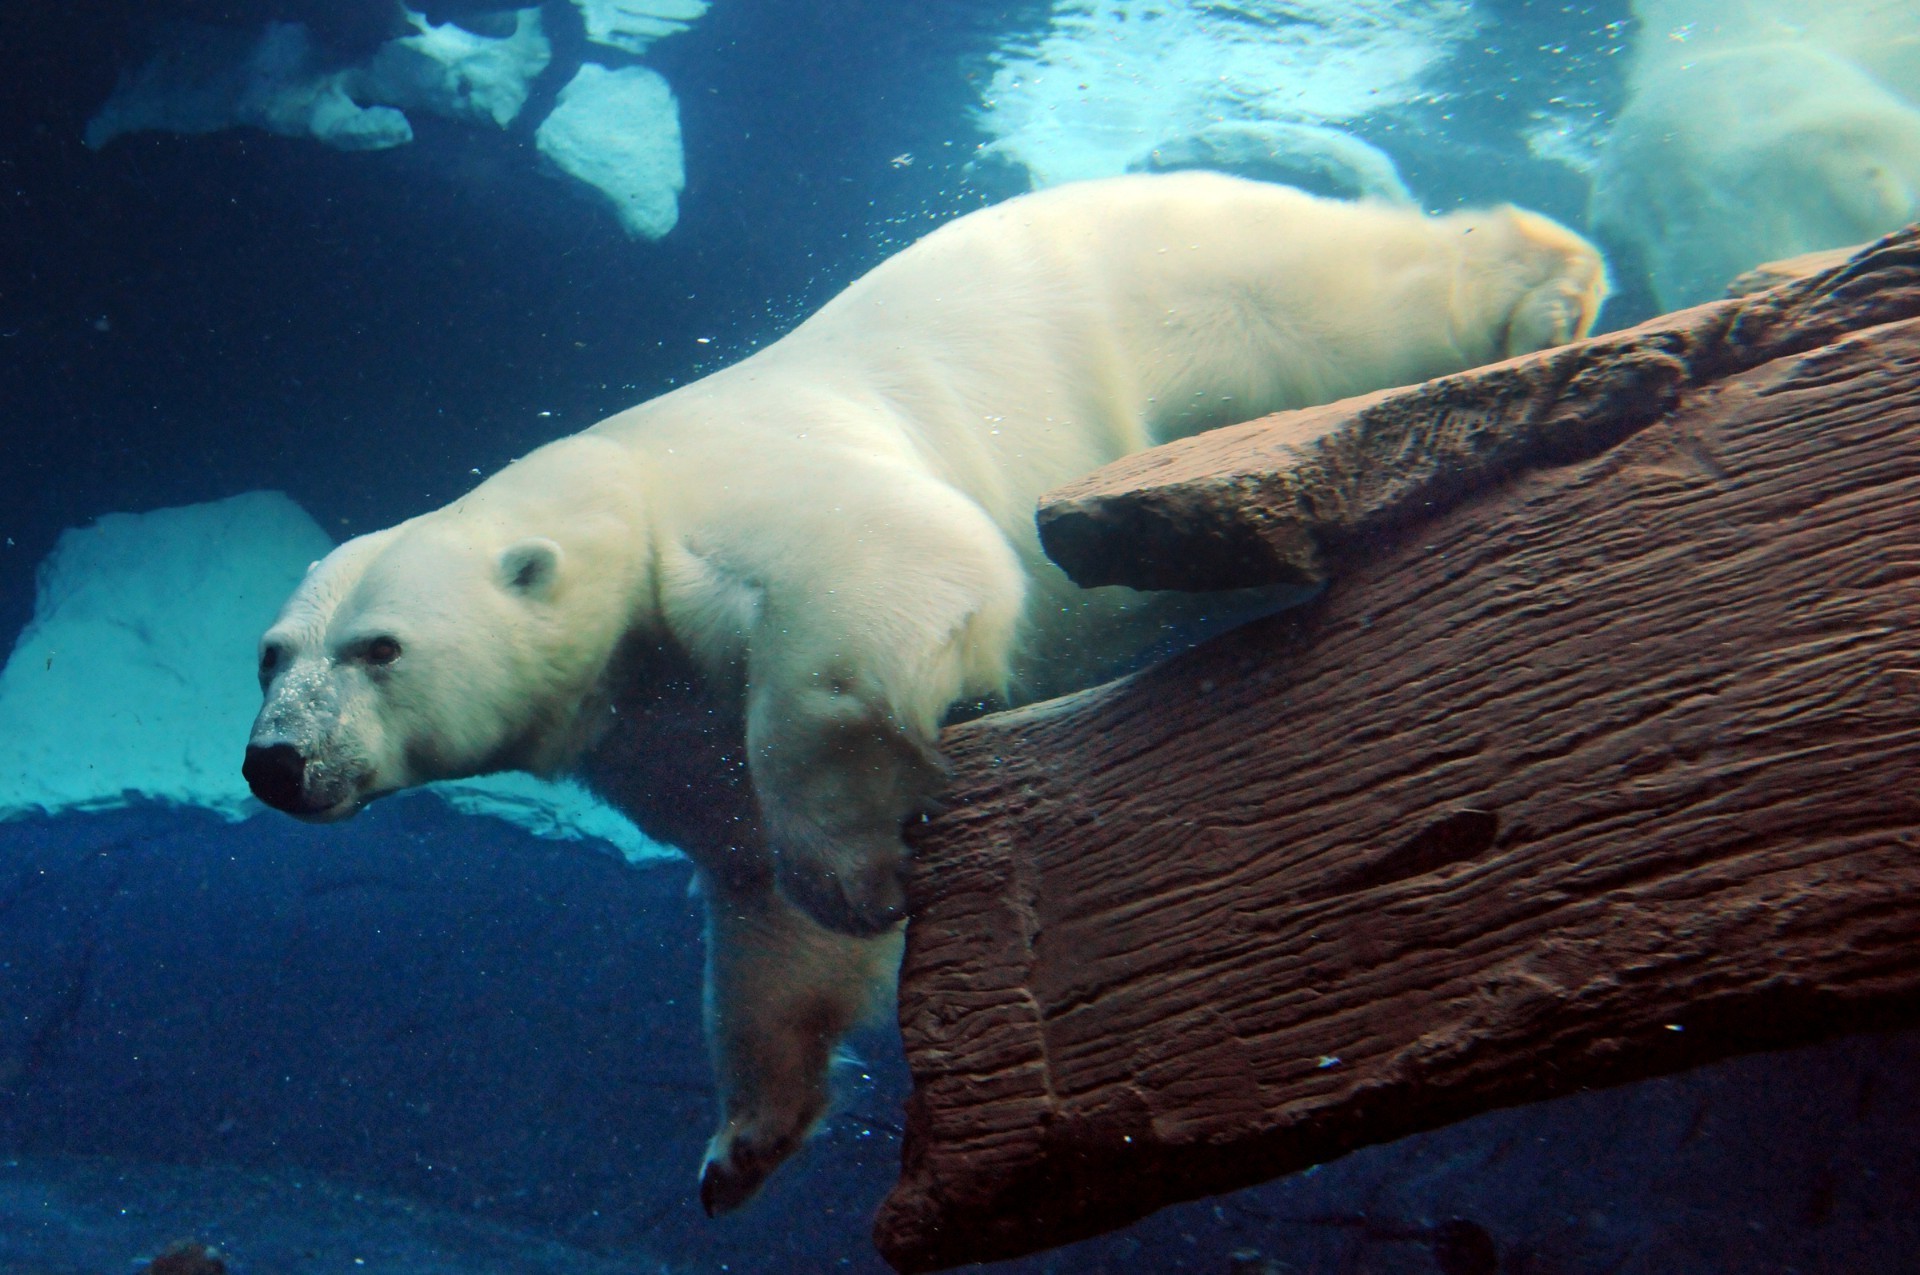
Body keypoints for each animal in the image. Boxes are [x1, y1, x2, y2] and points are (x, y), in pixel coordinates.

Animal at [247, 171, 1612, 1213]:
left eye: (378, 649)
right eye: (271, 655)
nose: (275, 763)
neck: (616, 501)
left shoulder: (725, 501)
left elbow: (889, 569)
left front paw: (855, 866)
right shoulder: (650, 723)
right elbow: (752, 905)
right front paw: (740, 1145)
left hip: (1196, 284)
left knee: (1364, 295)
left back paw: (1548, 284)